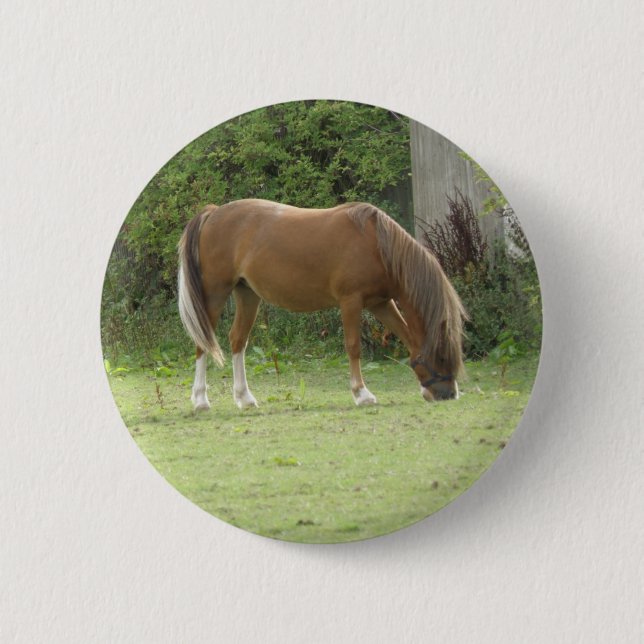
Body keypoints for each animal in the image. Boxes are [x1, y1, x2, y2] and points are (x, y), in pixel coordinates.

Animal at [177, 199, 465, 410]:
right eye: (442, 355)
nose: (448, 394)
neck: (377, 245)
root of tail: (214, 213)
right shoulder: (351, 301)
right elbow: (353, 347)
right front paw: (362, 394)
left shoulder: (382, 303)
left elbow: (406, 336)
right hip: (215, 293)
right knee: (203, 342)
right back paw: (201, 400)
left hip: (247, 294)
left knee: (238, 339)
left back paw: (245, 398)